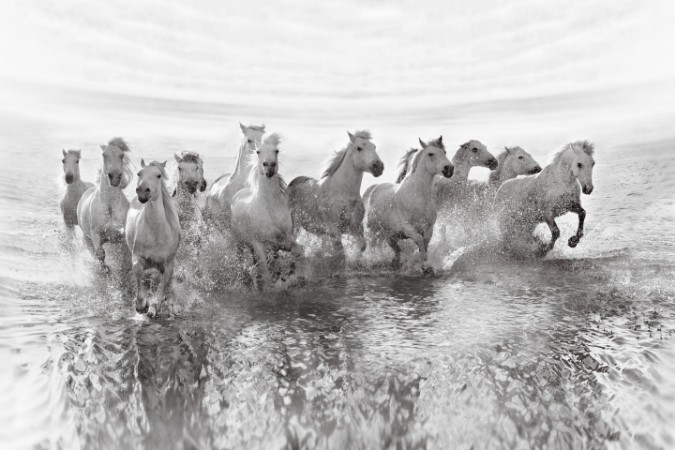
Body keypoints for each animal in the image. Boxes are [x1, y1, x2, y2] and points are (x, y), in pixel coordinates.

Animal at [77, 138, 133, 270]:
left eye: (121, 155)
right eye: (104, 154)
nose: (115, 177)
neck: (110, 206)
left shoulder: (122, 236)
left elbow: (126, 256)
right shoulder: (95, 233)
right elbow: (100, 253)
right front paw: (106, 270)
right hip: (87, 238)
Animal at [125, 160, 181, 316]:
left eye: (158, 175)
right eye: (139, 173)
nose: (143, 191)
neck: (157, 234)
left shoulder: (168, 263)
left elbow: (164, 282)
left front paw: (154, 306)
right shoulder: (138, 256)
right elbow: (138, 271)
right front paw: (141, 305)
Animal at [230, 134, 301, 288]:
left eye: (277, 150)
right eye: (258, 151)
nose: (269, 167)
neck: (270, 210)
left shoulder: (286, 240)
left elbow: (297, 254)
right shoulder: (259, 245)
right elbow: (266, 274)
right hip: (239, 242)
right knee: (241, 258)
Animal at [288, 130, 384, 258]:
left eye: (374, 146)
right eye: (359, 148)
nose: (378, 167)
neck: (344, 193)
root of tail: (291, 184)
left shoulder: (355, 227)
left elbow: (362, 246)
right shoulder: (334, 229)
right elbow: (340, 252)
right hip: (294, 225)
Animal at [363, 136, 453, 273]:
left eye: (444, 152)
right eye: (430, 153)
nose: (449, 169)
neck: (418, 197)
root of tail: (374, 188)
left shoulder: (429, 228)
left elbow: (424, 244)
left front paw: (427, 266)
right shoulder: (408, 228)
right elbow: (420, 241)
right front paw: (424, 266)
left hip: (391, 235)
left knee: (396, 251)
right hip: (373, 230)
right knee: (372, 247)